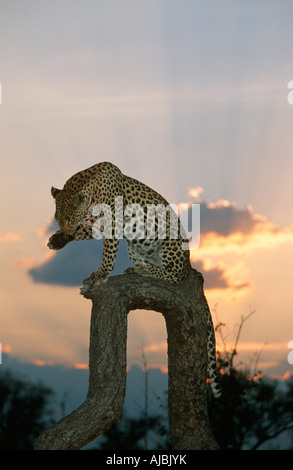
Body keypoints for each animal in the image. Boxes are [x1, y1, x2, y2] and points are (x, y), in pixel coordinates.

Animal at [48, 162, 219, 396]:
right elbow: (83, 232)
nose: (65, 229)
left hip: (169, 242)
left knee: (174, 274)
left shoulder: (112, 222)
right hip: (134, 246)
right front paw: (58, 239)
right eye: (58, 219)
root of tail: (189, 263)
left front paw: (101, 274)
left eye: (68, 218)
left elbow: (108, 253)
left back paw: (145, 271)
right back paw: (137, 268)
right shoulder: (94, 224)